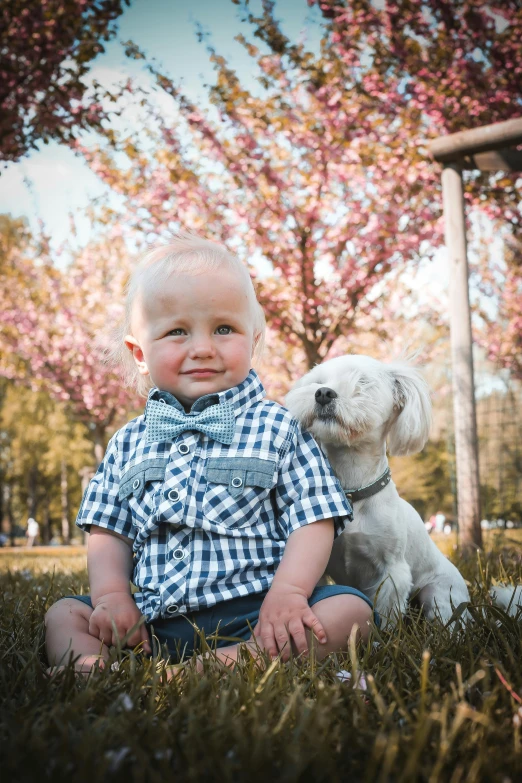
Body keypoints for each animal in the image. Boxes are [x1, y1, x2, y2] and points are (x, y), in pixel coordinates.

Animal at [286, 358, 470, 628]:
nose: (323, 393)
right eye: (318, 381)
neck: (353, 491)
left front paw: (386, 636)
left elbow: (387, 614)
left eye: (362, 382)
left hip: (438, 595)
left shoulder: (392, 571)